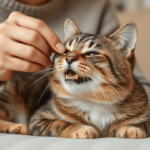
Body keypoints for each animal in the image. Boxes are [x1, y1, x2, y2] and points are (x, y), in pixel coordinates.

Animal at [0, 19, 150, 139]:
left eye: (91, 54)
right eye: (66, 51)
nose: (69, 58)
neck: (94, 101)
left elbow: (144, 123)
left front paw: (132, 127)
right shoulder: (39, 118)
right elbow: (61, 123)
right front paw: (80, 128)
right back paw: (16, 127)